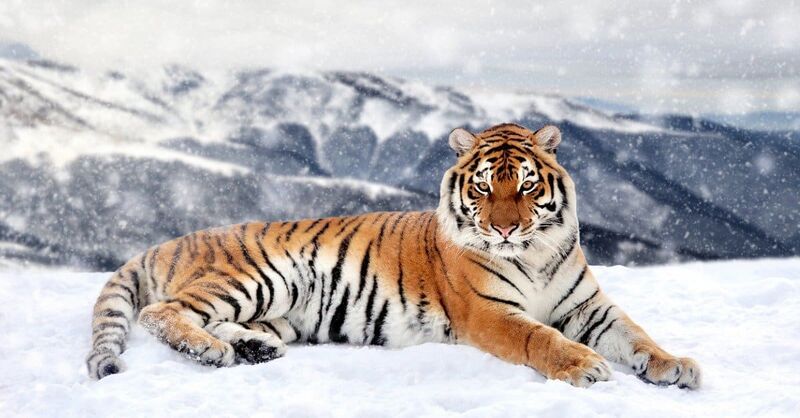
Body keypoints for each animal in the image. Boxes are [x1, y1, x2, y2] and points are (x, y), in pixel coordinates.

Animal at [86, 123, 701, 389]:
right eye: (484, 187)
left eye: (526, 186)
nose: (504, 229)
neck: (537, 253)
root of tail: (171, 240)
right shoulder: (489, 312)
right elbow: (540, 337)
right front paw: (585, 367)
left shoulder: (588, 306)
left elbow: (635, 334)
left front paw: (674, 365)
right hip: (258, 276)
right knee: (161, 313)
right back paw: (211, 352)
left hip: (275, 309)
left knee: (219, 323)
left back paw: (251, 350)